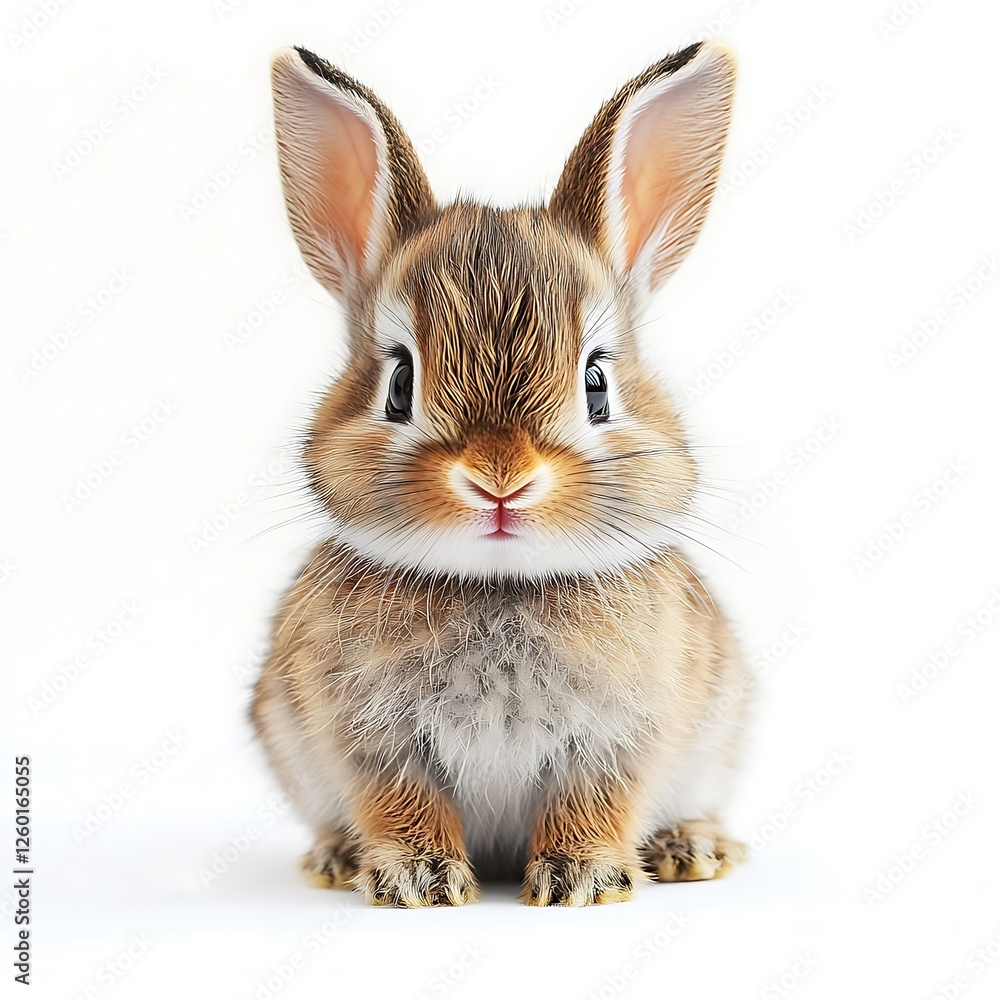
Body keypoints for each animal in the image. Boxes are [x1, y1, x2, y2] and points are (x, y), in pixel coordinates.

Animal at [251, 40, 751, 907]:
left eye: (597, 383)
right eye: (399, 384)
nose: (500, 480)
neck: (499, 585)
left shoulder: (623, 738)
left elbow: (595, 801)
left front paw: (582, 879)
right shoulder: (368, 742)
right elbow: (398, 802)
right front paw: (416, 879)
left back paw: (691, 847)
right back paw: (336, 858)